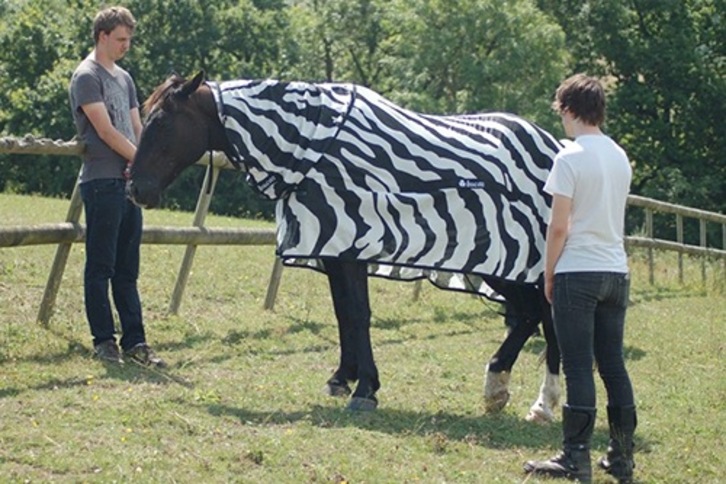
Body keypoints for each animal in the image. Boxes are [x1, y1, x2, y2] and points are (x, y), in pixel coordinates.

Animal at [127, 71, 560, 420]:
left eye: (162, 122)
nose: (135, 189)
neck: (315, 150)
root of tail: (552, 147)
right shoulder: (334, 249)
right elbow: (343, 314)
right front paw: (342, 378)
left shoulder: (353, 243)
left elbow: (358, 313)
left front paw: (366, 389)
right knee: (532, 315)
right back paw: (506, 390)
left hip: (512, 262)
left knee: (540, 316)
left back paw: (534, 398)